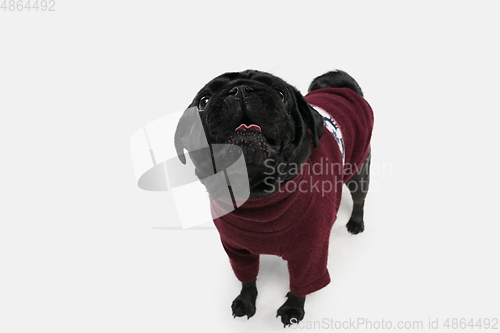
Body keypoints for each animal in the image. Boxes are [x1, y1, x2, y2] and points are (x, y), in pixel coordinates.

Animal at [174, 68, 374, 326]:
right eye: (203, 102)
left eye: (280, 93)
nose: (239, 89)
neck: (257, 195)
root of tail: (344, 90)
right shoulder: (236, 250)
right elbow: (247, 279)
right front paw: (246, 301)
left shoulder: (310, 254)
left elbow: (301, 285)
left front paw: (293, 308)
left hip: (359, 172)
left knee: (359, 199)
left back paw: (355, 223)